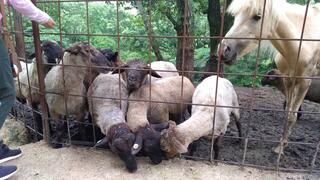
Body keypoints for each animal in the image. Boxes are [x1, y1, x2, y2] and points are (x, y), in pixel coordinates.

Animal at [219, 0, 320, 155]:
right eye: (235, 15)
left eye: (257, 16)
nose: (223, 50)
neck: (302, 44)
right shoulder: (289, 80)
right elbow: (287, 113)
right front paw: (281, 144)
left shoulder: (304, 83)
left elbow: (292, 116)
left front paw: (280, 148)